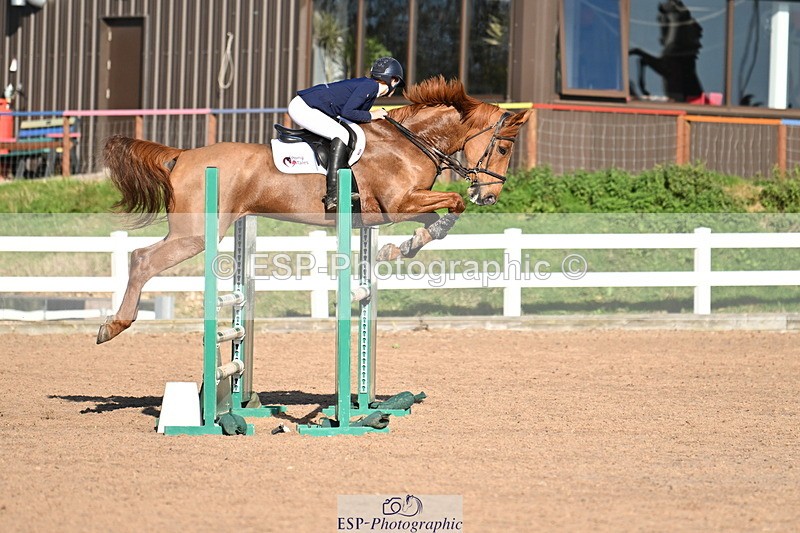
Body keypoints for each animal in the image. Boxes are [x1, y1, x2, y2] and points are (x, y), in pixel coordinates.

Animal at [96, 76, 532, 344]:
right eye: (503, 148)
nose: (489, 197)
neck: (411, 141)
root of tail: (182, 155)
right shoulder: (398, 203)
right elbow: (453, 203)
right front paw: (406, 245)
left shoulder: (405, 204)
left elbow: (438, 219)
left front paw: (401, 248)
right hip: (196, 234)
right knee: (142, 259)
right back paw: (114, 326)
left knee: (142, 257)